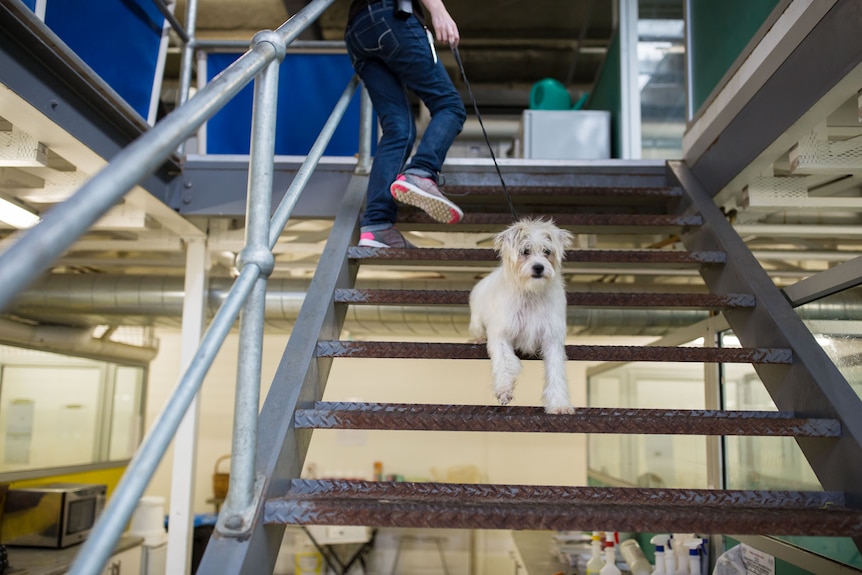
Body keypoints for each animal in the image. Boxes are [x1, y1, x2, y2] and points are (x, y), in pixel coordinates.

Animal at [470, 219, 576, 414]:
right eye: (525, 251)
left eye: (547, 251)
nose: (539, 267)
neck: (530, 292)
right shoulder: (501, 334)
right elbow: (504, 363)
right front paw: (504, 389)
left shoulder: (552, 339)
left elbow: (556, 373)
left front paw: (559, 404)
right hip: (476, 321)